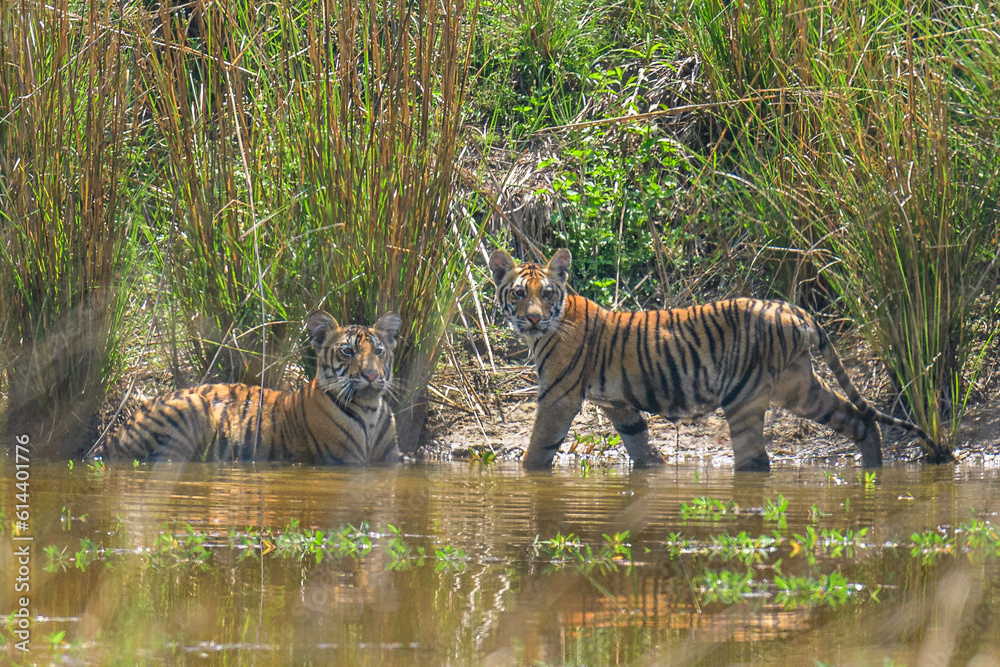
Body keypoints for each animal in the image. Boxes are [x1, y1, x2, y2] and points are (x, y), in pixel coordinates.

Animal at [96, 310, 402, 464]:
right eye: (348, 351)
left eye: (379, 351)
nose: (371, 375)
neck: (369, 408)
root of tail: (116, 431)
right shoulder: (346, 461)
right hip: (192, 406)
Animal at [489, 248, 950, 471]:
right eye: (519, 293)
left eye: (546, 294)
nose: (533, 318)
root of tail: (793, 309)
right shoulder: (619, 405)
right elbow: (640, 446)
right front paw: (655, 468)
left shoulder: (558, 397)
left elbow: (537, 450)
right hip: (800, 386)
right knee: (858, 419)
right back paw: (874, 470)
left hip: (746, 396)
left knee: (756, 459)